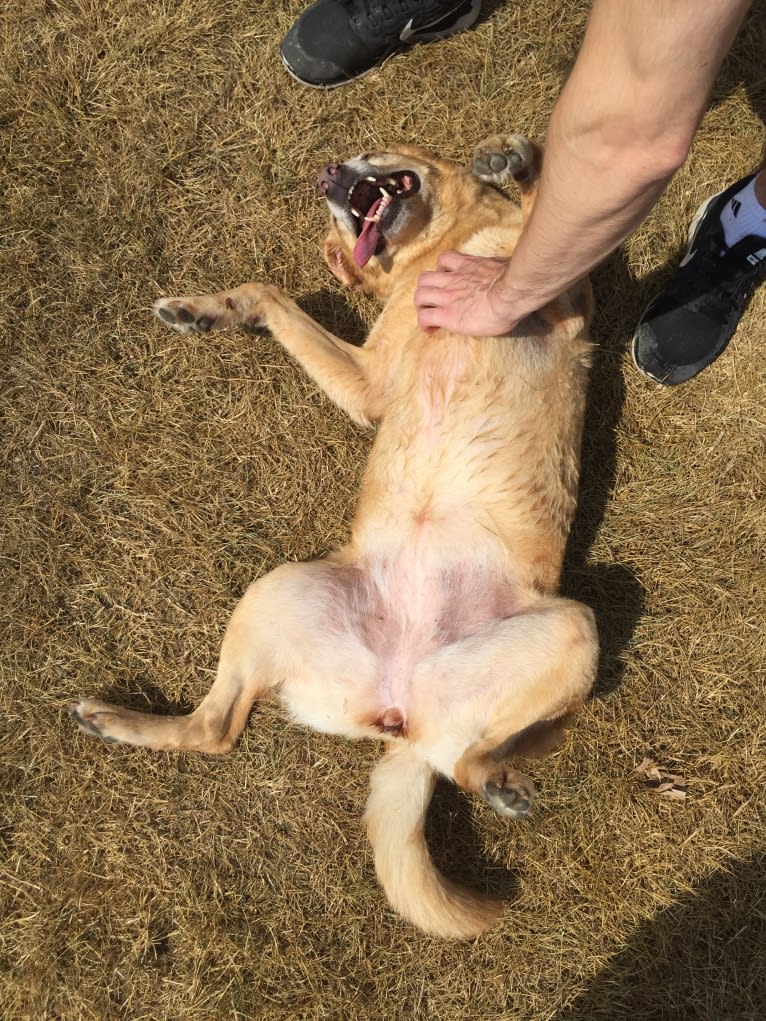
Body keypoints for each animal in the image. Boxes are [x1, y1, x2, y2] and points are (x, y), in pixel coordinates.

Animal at [72, 135, 600, 939]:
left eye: (376, 151)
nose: (327, 175)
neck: (442, 249)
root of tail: (400, 712)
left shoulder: (562, 304)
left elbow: (544, 214)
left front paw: (512, 162)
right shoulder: (373, 380)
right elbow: (269, 293)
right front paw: (204, 309)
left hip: (572, 631)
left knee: (462, 758)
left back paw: (500, 781)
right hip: (278, 591)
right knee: (216, 728)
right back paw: (114, 719)